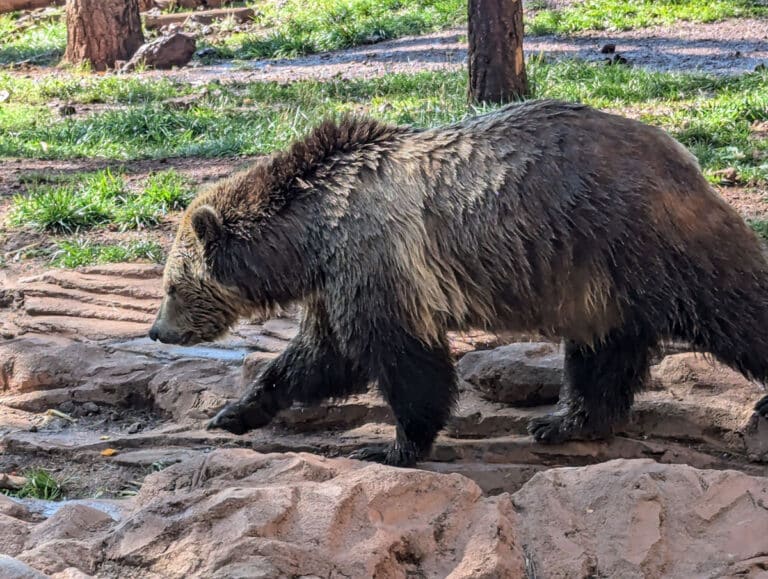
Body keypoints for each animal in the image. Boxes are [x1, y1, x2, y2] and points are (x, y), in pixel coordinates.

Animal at [149, 99, 768, 467]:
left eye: (172, 286)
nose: (157, 332)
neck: (307, 233)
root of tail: (683, 155)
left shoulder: (375, 257)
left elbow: (399, 357)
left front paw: (395, 445)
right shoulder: (335, 279)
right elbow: (317, 358)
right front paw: (234, 411)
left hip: (638, 236)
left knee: (734, 306)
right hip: (596, 276)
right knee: (602, 350)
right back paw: (562, 422)